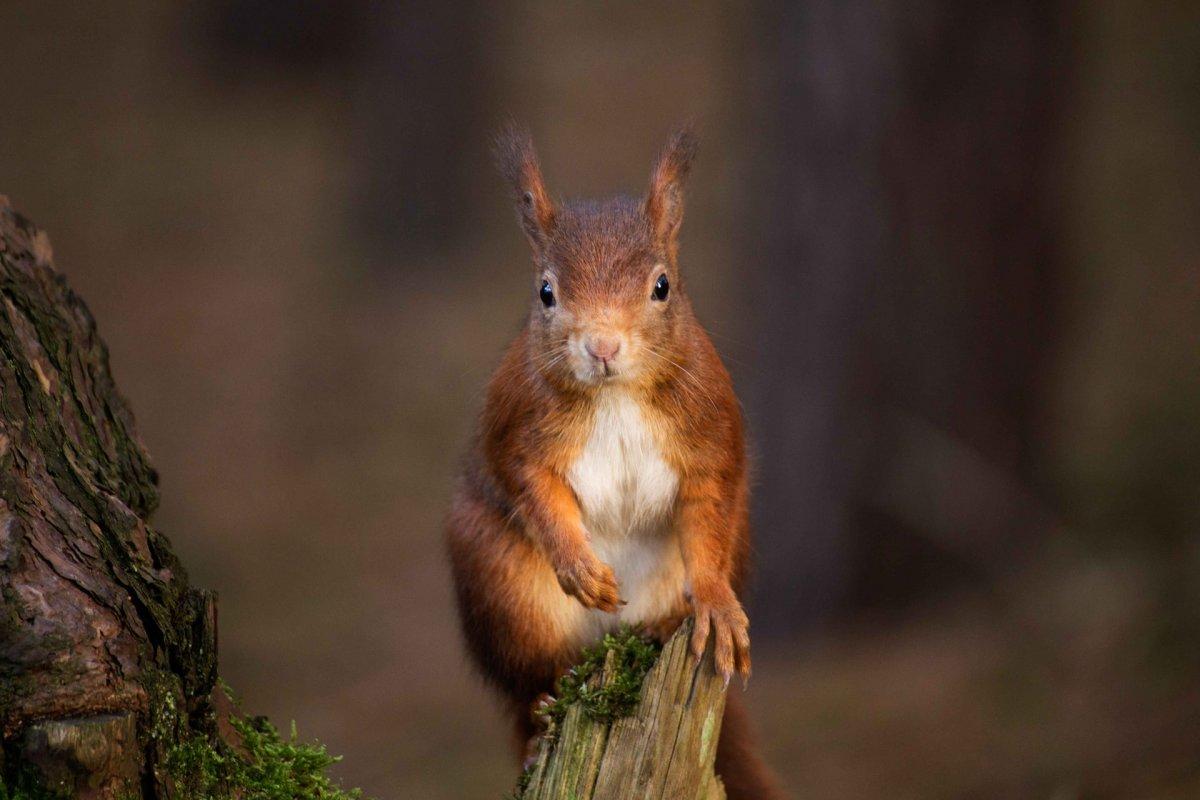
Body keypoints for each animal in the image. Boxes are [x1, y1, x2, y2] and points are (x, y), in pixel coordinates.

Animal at [446, 126, 782, 800]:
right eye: (546, 292)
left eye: (663, 286)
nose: (601, 346)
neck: (616, 395)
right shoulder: (517, 430)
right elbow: (533, 488)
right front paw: (579, 566)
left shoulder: (711, 439)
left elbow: (708, 517)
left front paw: (715, 603)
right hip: (500, 582)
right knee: (531, 686)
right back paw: (540, 722)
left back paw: (666, 625)